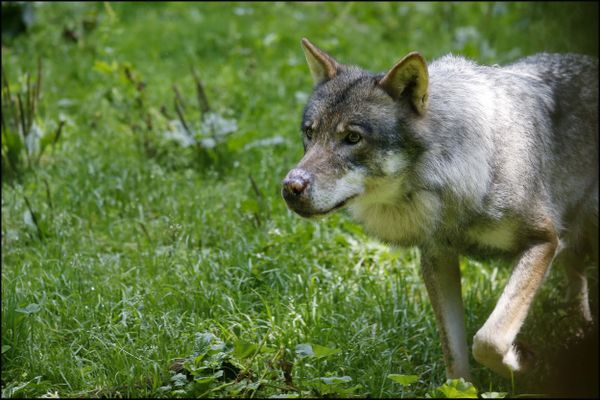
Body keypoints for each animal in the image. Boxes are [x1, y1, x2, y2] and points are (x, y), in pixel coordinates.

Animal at [284, 38, 596, 382]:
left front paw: (522, 361)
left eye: (352, 138)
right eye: (310, 133)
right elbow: (456, 354)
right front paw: (464, 386)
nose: (290, 187)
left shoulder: (544, 239)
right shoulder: (437, 258)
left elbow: (488, 339)